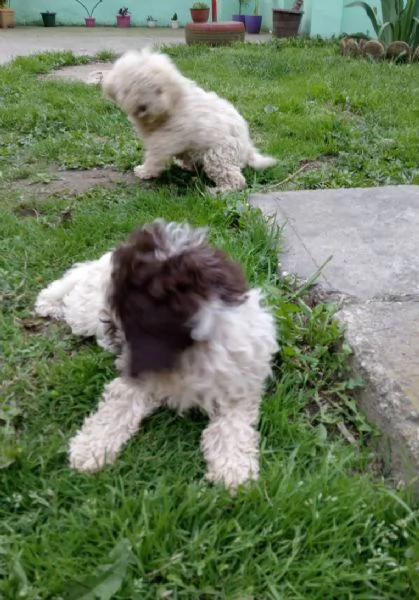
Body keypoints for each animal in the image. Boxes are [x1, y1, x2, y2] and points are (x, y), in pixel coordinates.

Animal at [35, 221, 278, 492]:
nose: (114, 326)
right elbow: (116, 410)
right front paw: (90, 450)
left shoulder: (239, 385)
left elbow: (232, 426)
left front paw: (234, 470)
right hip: (85, 314)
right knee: (73, 291)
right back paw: (50, 302)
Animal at [101, 50, 278, 195]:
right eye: (129, 89)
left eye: (158, 90)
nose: (143, 107)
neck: (171, 105)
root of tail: (247, 146)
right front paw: (184, 164)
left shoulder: (165, 139)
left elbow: (154, 156)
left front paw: (145, 171)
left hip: (218, 155)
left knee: (236, 179)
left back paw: (217, 190)